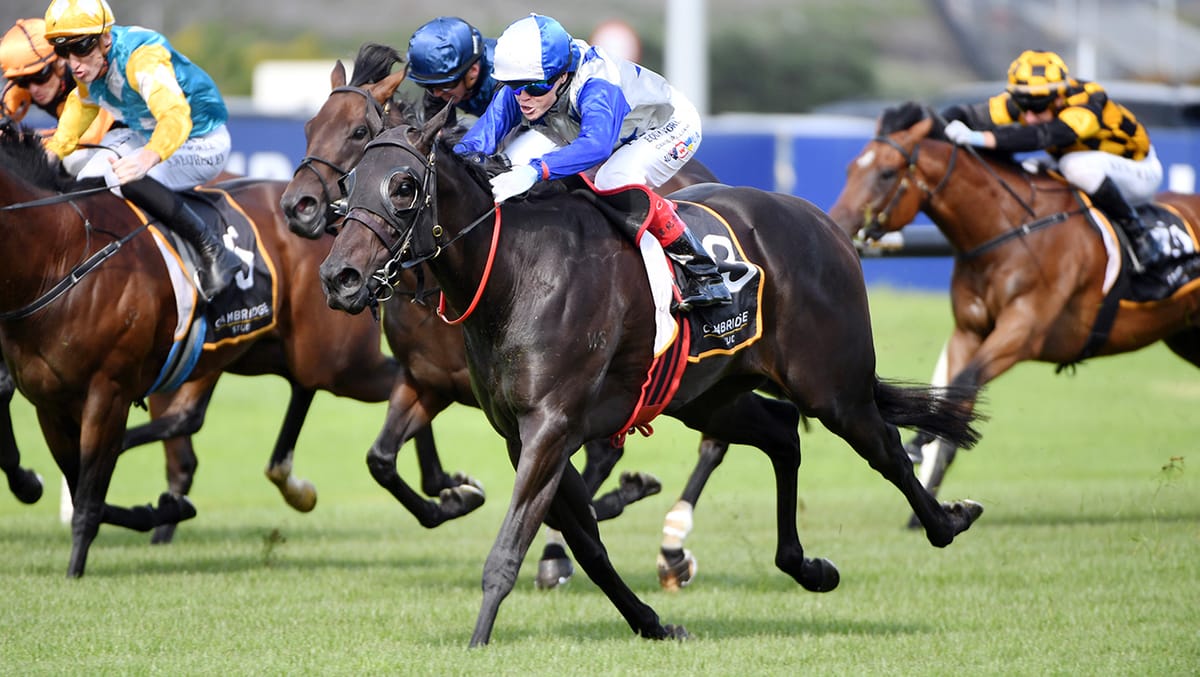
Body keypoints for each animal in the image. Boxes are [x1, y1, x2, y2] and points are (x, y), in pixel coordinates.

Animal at [0, 125, 491, 576]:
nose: (341, 274)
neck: (63, 255)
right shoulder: (49, 401)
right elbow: (81, 479)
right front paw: (155, 510)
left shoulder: (109, 391)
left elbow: (88, 492)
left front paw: (76, 566)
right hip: (253, 355)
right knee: (217, 412)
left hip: (337, 363)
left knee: (380, 382)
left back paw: (442, 487)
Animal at [278, 43, 727, 591]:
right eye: (309, 126)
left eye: (358, 131)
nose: (296, 207)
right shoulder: (425, 380)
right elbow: (382, 460)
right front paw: (454, 494)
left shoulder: (546, 398)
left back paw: (649, 545)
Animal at [317, 109, 985, 645]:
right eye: (351, 184)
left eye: (404, 186)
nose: (339, 277)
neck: (516, 272)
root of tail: (826, 223)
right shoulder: (522, 434)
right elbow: (584, 540)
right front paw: (653, 623)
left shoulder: (551, 427)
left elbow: (514, 542)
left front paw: (478, 640)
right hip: (710, 394)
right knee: (781, 432)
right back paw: (806, 566)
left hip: (832, 384)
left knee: (885, 447)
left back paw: (947, 521)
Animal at [828, 101, 1200, 511]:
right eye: (850, 168)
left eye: (886, 172)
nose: (837, 223)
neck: (1011, 229)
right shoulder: (969, 331)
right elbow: (953, 390)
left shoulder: (1024, 329)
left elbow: (964, 380)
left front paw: (918, 443)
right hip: (1186, 336)